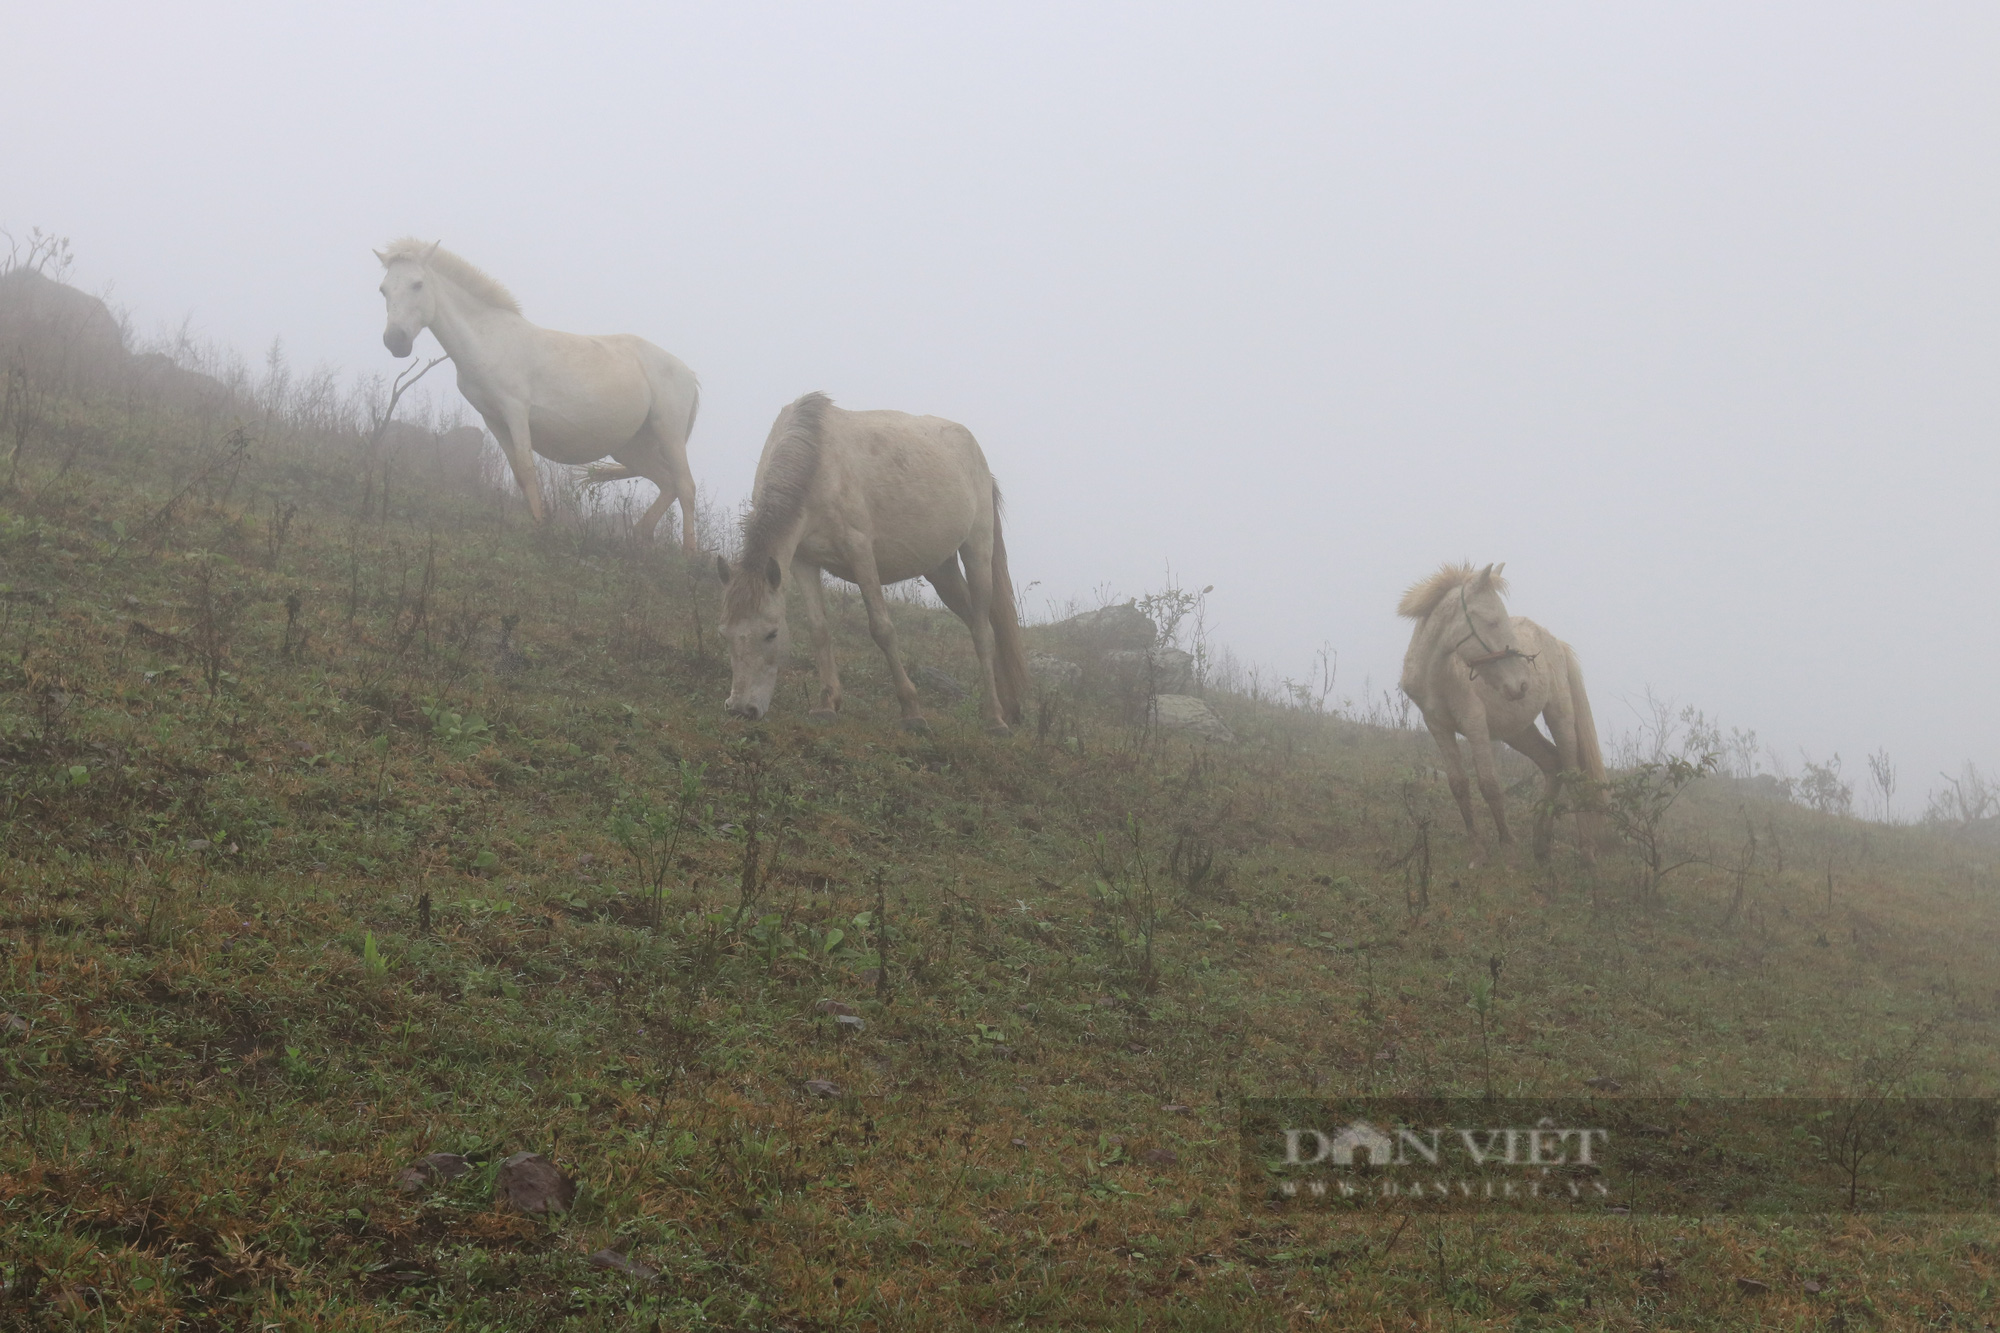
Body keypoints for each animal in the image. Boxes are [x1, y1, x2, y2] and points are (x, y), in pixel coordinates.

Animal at [376, 239, 704, 544]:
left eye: (417, 284)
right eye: (383, 289)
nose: (396, 341)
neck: (488, 339)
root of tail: (688, 373)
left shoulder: (516, 411)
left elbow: (526, 468)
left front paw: (539, 528)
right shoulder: (493, 419)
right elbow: (519, 474)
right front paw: (539, 522)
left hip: (669, 433)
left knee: (685, 486)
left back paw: (689, 554)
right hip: (631, 446)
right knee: (667, 483)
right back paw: (638, 535)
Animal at [720, 390, 1032, 732]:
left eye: (772, 634)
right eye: (724, 633)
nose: (741, 709)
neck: (817, 463)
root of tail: (981, 465)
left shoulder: (860, 552)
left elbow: (882, 629)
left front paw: (912, 712)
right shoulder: (802, 561)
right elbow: (819, 629)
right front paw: (827, 703)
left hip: (977, 550)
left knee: (983, 632)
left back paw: (995, 719)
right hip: (941, 570)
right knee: (979, 622)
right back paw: (1008, 706)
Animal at [1400, 556, 1616, 852]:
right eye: (1492, 622)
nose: (1522, 683)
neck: (1440, 675)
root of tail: (1556, 643)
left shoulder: (1474, 724)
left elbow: (1489, 784)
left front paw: (1507, 841)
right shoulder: (1438, 727)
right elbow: (1458, 785)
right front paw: (1477, 846)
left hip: (1559, 717)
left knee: (1570, 771)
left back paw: (1585, 849)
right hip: (1518, 731)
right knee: (1552, 763)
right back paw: (1541, 842)